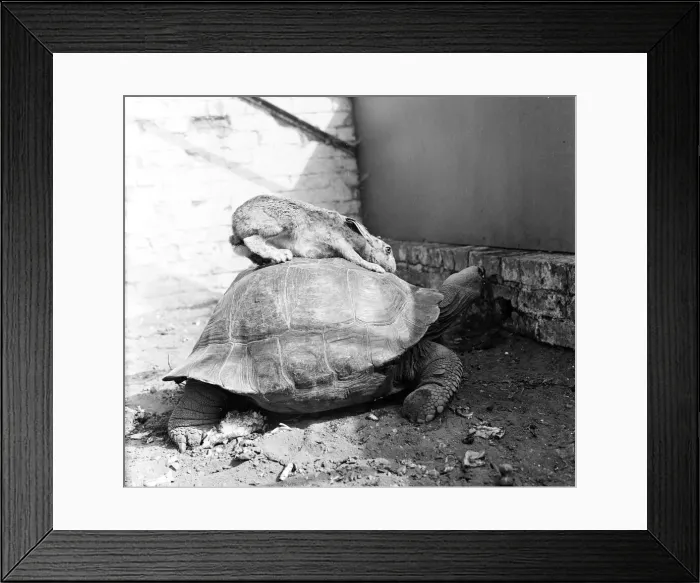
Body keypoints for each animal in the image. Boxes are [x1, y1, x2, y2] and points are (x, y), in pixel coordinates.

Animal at [229, 194, 396, 273]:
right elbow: (354, 257)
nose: (393, 269)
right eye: (388, 249)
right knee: (252, 240)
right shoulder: (339, 241)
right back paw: (282, 255)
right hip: (280, 225)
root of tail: (235, 218)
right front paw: (376, 268)